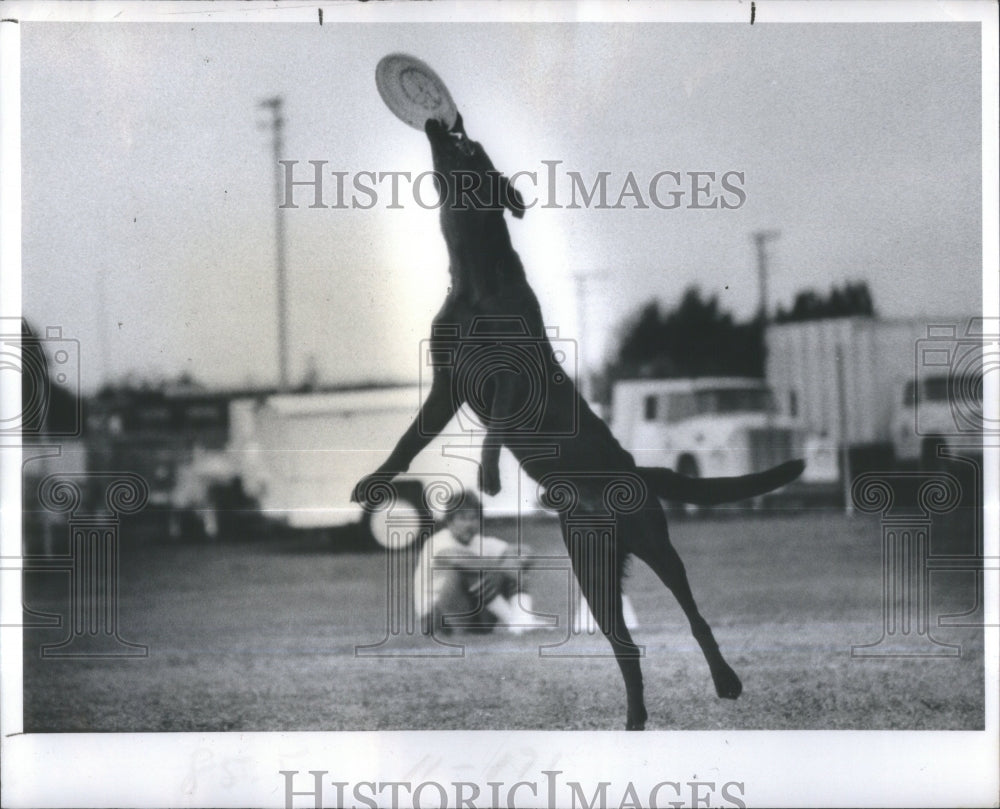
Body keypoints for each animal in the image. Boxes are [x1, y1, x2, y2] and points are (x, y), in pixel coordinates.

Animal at [352, 115, 804, 732]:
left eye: (471, 149)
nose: (446, 120)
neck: (476, 277)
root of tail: (638, 471)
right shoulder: (445, 386)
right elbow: (407, 440)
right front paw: (375, 479)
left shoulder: (512, 374)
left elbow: (495, 427)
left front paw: (490, 475)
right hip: (593, 569)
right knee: (626, 647)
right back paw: (635, 721)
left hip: (656, 545)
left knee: (695, 618)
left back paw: (724, 680)